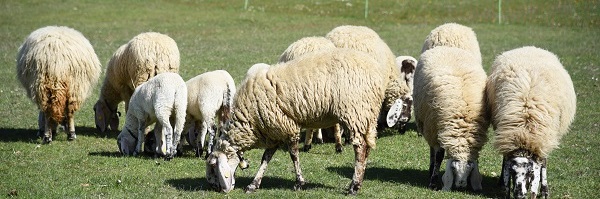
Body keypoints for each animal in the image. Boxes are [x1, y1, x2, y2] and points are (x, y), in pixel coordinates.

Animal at [206, 48, 390, 196]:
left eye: (214, 168)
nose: (216, 189)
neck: (248, 120)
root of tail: (377, 74)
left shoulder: (287, 127)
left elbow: (294, 155)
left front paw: (299, 183)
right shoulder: (274, 130)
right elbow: (265, 158)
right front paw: (253, 185)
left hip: (355, 111)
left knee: (360, 149)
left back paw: (353, 186)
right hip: (365, 115)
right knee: (366, 149)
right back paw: (359, 183)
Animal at [414, 46, 490, 191]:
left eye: (470, 169)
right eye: (453, 168)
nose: (461, 185)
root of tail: (446, 47)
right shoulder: (437, 129)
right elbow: (439, 156)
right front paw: (433, 182)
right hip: (428, 125)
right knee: (432, 150)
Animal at [488, 45, 576, 199]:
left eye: (529, 173)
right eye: (513, 173)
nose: (519, 195)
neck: (525, 130)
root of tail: (529, 47)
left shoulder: (542, 141)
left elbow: (543, 165)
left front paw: (544, 190)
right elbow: (506, 162)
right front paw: (505, 186)